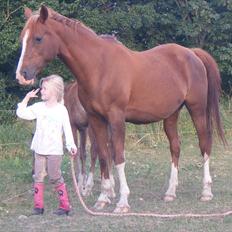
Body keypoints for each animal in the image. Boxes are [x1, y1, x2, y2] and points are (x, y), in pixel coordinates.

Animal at [15, 5, 225, 213]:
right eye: (22, 38)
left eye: (38, 38)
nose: (22, 75)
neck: (99, 67)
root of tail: (192, 53)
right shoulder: (95, 119)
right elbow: (102, 155)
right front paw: (103, 197)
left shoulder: (116, 118)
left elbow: (117, 156)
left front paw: (122, 201)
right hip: (171, 115)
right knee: (175, 146)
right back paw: (170, 192)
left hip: (197, 110)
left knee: (204, 144)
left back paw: (206, 192)